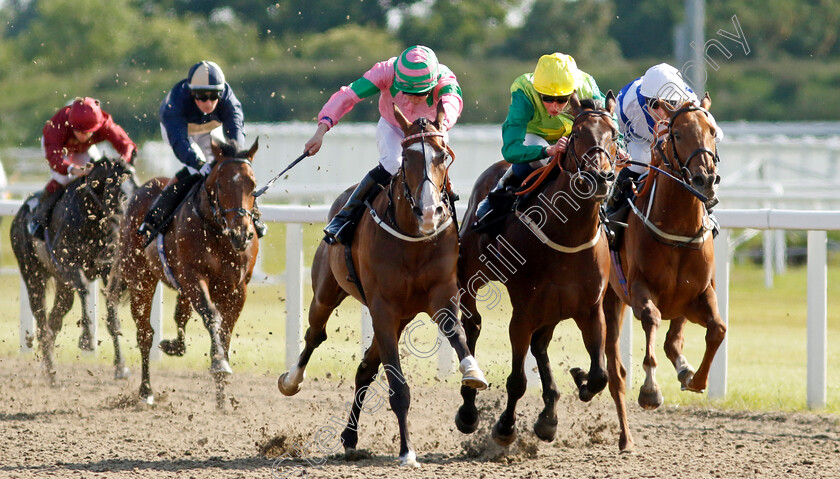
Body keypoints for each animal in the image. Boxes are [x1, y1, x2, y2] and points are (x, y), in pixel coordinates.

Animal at [10, 157, 135, 382]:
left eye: (135, 188)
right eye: (117, 191)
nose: (125, 222)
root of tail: (20, 214)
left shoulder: (107, 268)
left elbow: (112, 314)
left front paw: (121, 367)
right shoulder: (68, 264)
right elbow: (84, 289)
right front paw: (86, 339)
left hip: (62, 285)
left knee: (55, 318)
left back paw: (47, 365)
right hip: (32, 274)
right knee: (41, 320)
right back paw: (51, 371)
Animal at [106, 140, 260, 408]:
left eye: (252, 185)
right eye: (221, 184)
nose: (241, 233)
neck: (217, 231)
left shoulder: (237, 289)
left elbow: (225, 332)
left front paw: (222, 397)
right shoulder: (193, 277)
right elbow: (211, 315)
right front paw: (219, 364)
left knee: (180, 316)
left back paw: (174, 345)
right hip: (139, 277)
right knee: (145, 334)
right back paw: (146, 391)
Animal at [278, 103, 486, 466]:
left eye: (442, 155)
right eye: (407, 159)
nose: (429, 211)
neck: (414, 239)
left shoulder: (441, 295)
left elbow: (456, 331)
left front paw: (472, 372)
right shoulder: (383, 308)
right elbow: (398, 387)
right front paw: (407, 451)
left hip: (401, 316)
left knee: (364, 368)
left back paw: (349, 436)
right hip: (327, 293)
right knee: (315, 334)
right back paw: (292, 380)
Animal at [456, 94, 620, 450]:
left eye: (614, 134)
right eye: (576, 135)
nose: (600, 177)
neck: (567, 235)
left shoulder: (589, 309)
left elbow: (599, 375)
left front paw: (578, 382)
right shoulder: (523, 312)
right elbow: (517, 380)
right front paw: (505, 427)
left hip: (553, 308)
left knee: (540, 346)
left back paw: (549, 415)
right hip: (470, 276)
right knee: (472, 325)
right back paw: (468, 410)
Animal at [600, 94, 724, 454]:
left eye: (712, 131)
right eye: (678, 134)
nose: (705, 179)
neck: (678, 228)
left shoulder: (699, 294)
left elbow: (717, 329)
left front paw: (696, 379)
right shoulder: (641, 289)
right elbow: (652, 320)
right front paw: (650, 390)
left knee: (673, 340)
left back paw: (683, 370)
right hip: (610, 299)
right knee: (615, 372)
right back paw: (626, 438)